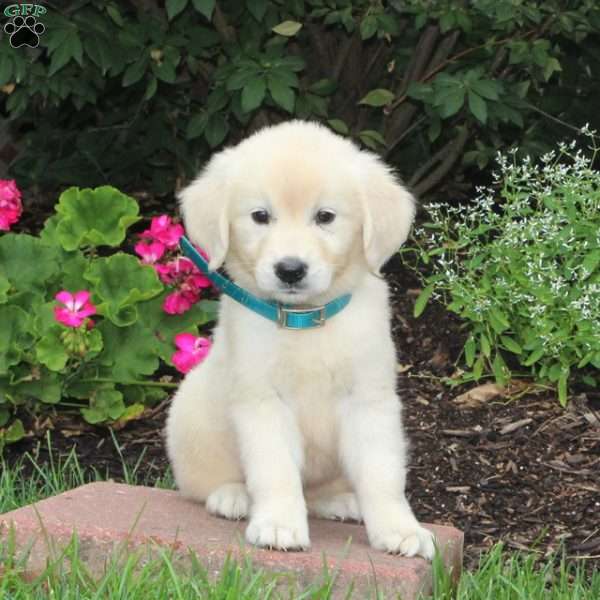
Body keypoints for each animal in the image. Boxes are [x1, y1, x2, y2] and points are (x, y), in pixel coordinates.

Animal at [166, 119, 434, 560]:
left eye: (325, 216)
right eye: (260, 216)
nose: (290, 270)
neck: (305, 321)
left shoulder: (370, 400)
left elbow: (382, 475)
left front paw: (399, 529)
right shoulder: (262, 401)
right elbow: (275, 471)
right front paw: (278, 525)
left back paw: (341, 502)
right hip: (190, 418)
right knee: (202, 485)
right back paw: (233, 496)